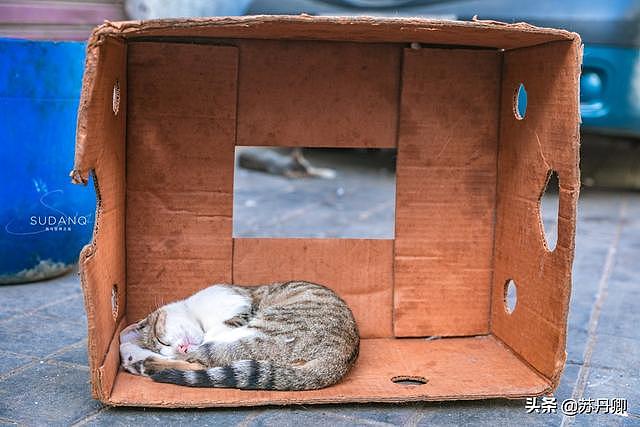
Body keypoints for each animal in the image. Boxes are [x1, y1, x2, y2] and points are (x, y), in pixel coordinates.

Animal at [120, 280, 360, 392]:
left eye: (162, 340)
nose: (180, 348)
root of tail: (339, 360)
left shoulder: (240, 304)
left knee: (205, 359)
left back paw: (141, 361)